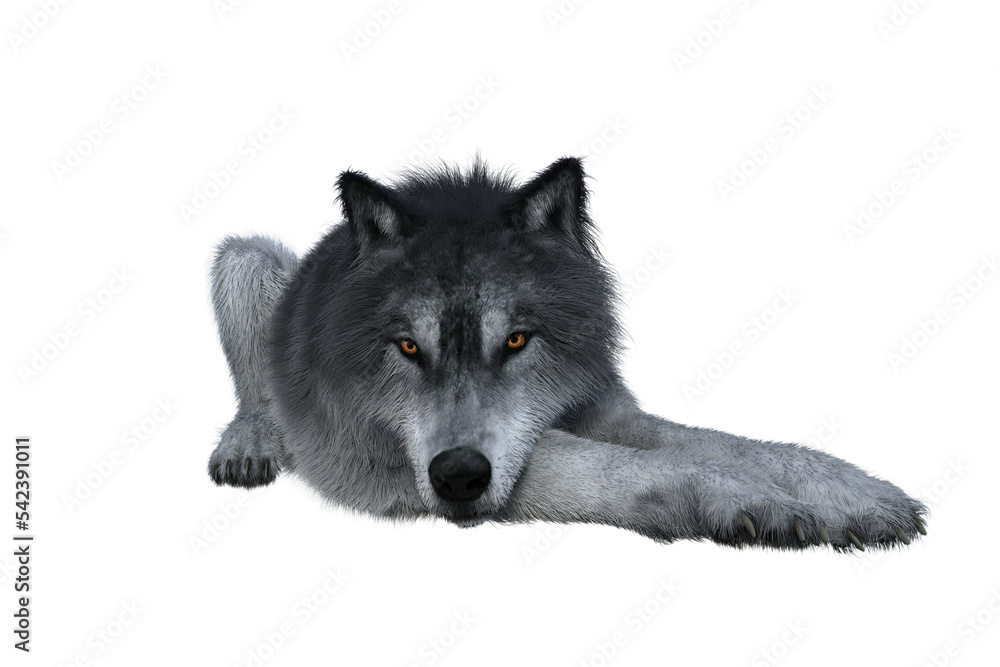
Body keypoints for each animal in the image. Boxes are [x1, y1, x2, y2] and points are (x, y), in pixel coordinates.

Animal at [207, 157, 927, 551]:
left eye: (516, 340)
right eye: (409, 346)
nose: (459, 478)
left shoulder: (603, 410)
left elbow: (732, 445)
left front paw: (851, 493)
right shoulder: (385, 459)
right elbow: (619, 468)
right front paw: (758, 504)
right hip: (244, 259)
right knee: (255, 394)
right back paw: (249, 445)